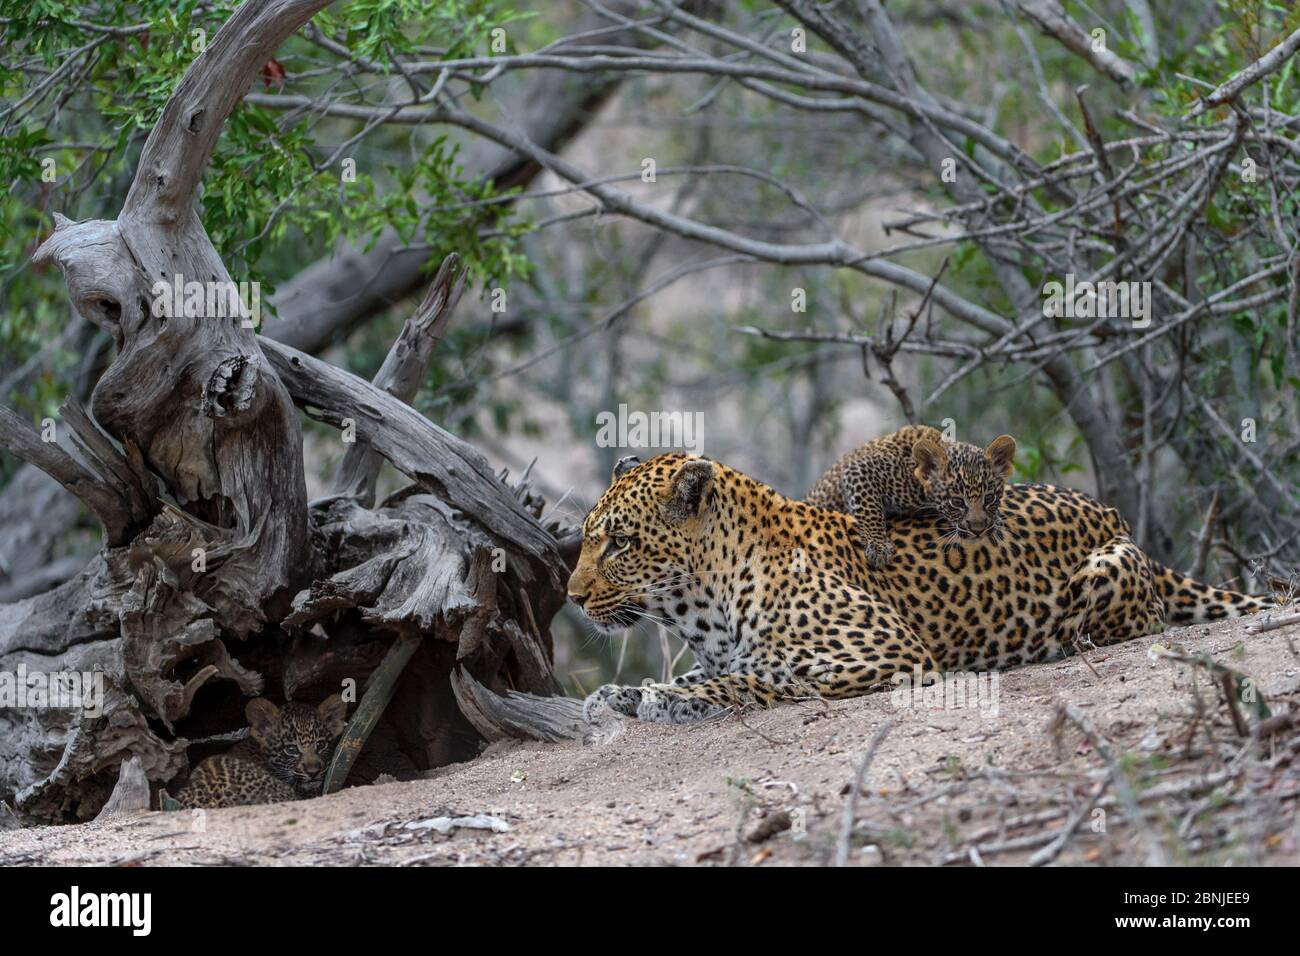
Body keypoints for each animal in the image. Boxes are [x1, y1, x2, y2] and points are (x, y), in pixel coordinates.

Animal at [567, 453, 1272, 724]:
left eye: (620, 542)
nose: (572, 597)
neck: (700, 610)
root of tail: (1115, 515)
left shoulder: (888, 653)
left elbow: (763, 676)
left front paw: (667, 700)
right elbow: (700, 673)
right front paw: (619, 693)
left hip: (1105, 573)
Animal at [806, 425, 1018, 568]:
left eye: (989, 498)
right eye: (956, 502)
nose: (978, 530)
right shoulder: (860, 469)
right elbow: (869, 511)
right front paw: (878, 547)